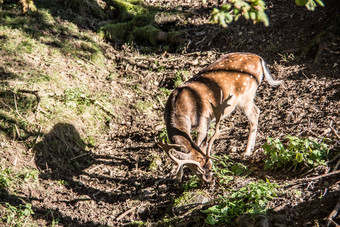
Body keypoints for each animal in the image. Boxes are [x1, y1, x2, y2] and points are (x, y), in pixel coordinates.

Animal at [157, 52, 282, 185]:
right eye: (196, 169)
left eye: (211, 165)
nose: (211, 182)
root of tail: (259, 59)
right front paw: (177, 178)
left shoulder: (204, 120)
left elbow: (201, 144)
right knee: (257, 111)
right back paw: (251, 148)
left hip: (246, 96)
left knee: (254, 115)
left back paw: (246, 153)